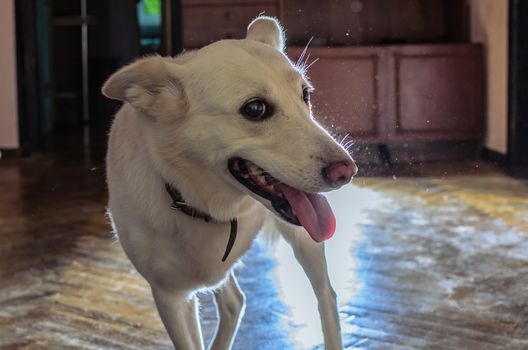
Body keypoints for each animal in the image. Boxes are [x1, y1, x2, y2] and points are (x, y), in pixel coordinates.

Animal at [103, 15, 356, 350]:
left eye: (305, 95)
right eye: (255, 109)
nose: (347, 171)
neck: (200, 202)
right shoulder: (170, 298)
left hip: (306, 240)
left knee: (326, 297)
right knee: (235, 301)